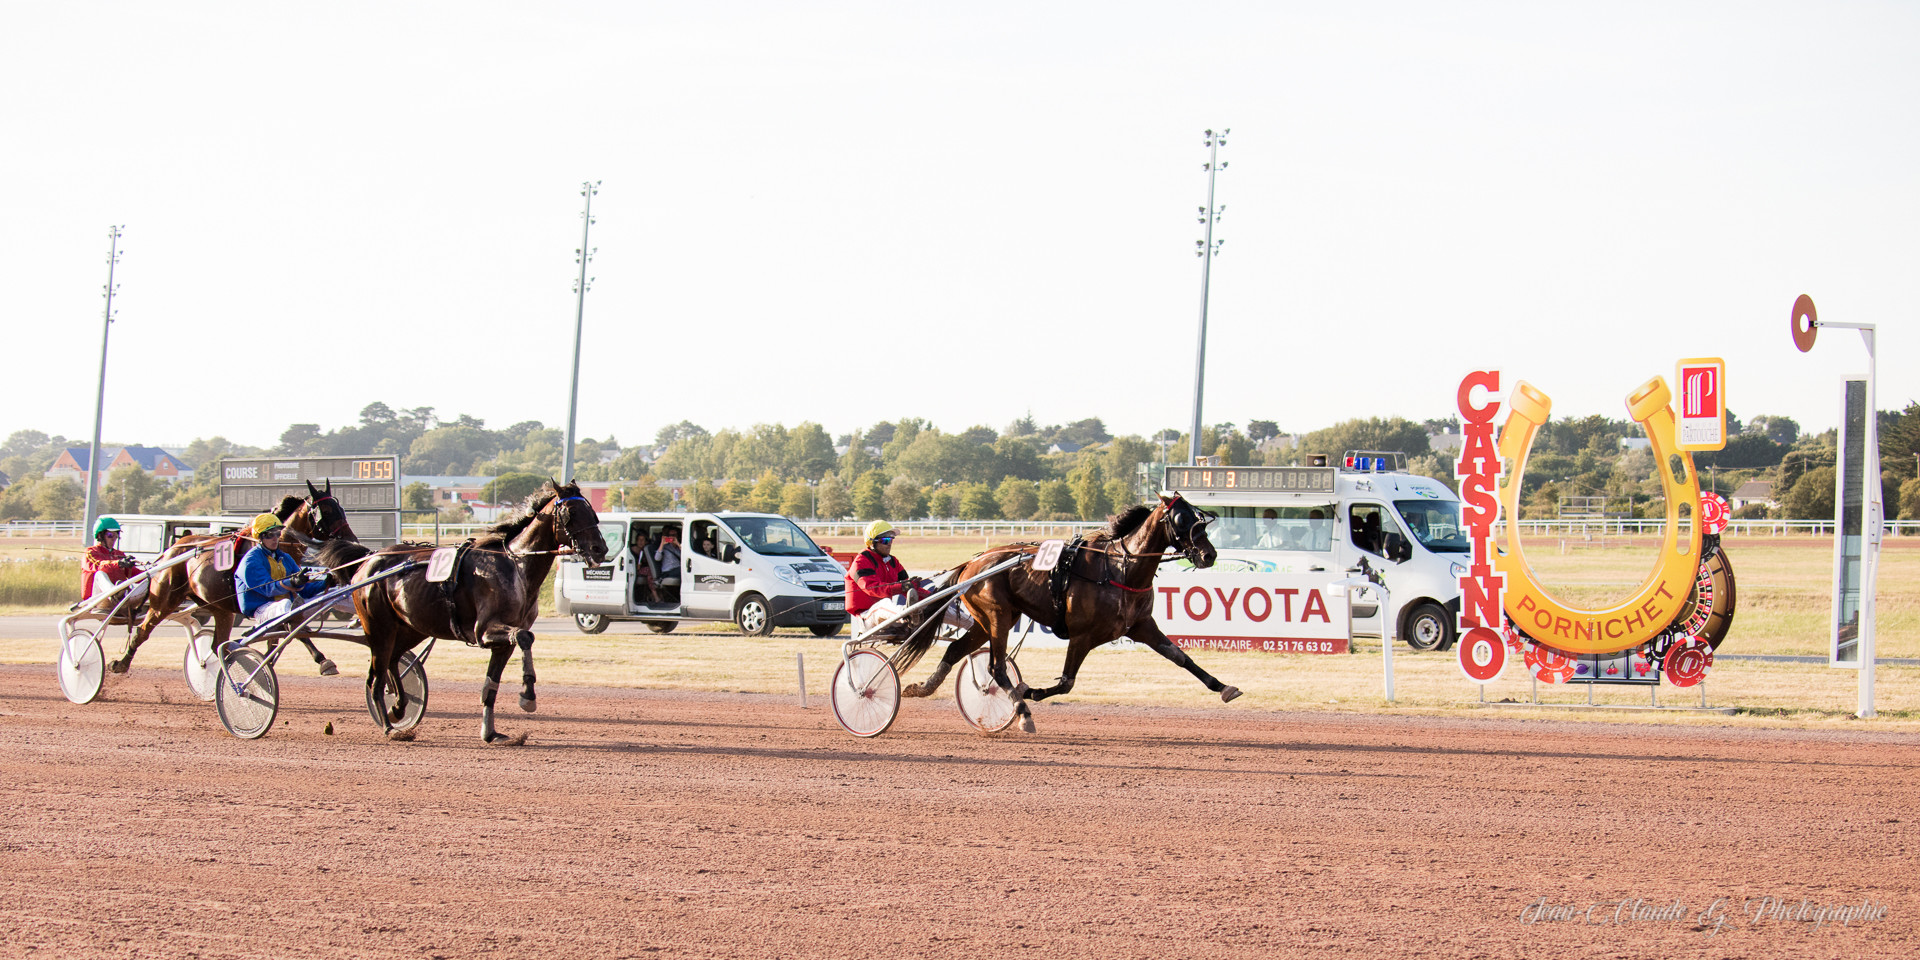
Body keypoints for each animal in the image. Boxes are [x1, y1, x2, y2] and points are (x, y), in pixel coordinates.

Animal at [108, 480, 359, 675]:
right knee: (142, 631)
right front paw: (323, 661)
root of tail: (169, 552)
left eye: (341, 508)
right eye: (326, 511)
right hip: (164, 600)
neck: (274, 548)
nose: (352, 540)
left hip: (221, 609)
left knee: (218, 644)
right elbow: (293, 630)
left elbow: (276, 639)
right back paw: (120, 664)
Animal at [347, 483, 606, 744]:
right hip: (380, 628)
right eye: (570, 512)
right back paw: (389, 727)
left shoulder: (503, 643)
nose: (600, 549)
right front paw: (527, 696)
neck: (515, 567)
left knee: (393, 660)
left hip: (412, 628)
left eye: (591, 511)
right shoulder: (485, 631)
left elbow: (492, 685)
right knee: (376, 677)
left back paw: (399, 707)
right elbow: (525, 637)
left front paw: (490, 732)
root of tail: (366, 563)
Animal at [894, 495, 1228, 733]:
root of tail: (972, 562)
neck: (1120, 570)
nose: (1209, 554)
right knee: (996, 667)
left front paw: (1224, 687)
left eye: (1200, 518)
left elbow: (1181, 658)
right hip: (997, 615)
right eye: (1182, 518)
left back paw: (921, 688)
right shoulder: (1082, 635)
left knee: (955, 650)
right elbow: (1067, 682)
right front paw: (1029, 691)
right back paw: (1023, 712)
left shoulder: (1142, 626)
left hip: (990, 619)